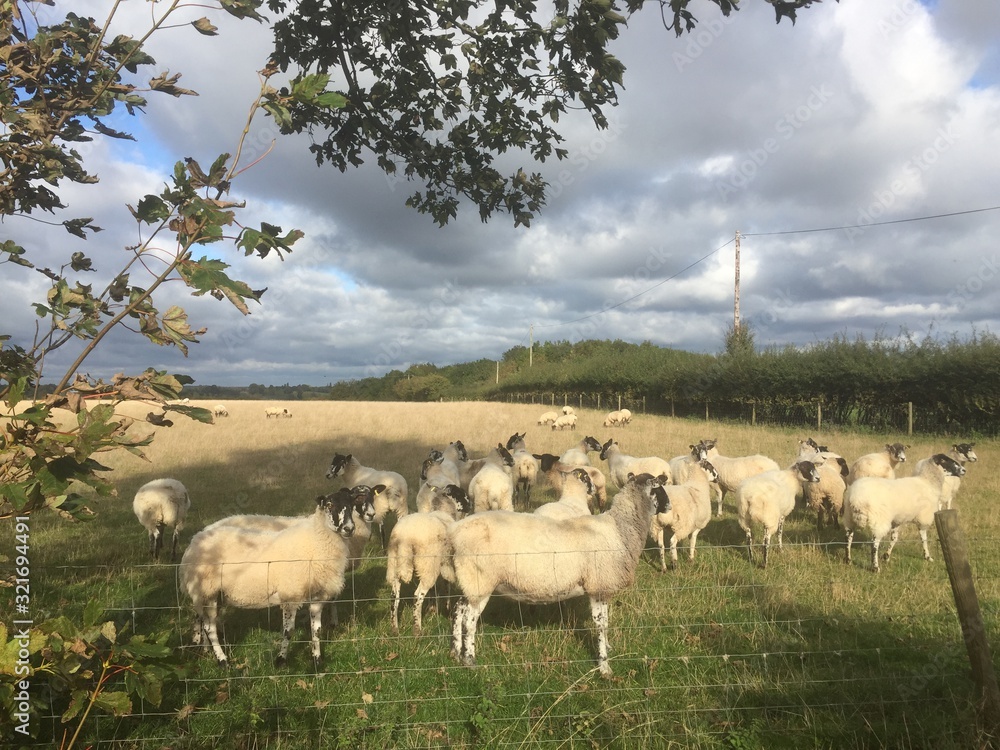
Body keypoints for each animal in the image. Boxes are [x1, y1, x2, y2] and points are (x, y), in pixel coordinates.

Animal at [180, 489, 357, 667]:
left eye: (352, 505)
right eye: (329, 504)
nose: (349, 528)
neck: (316, 541)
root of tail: (195, 540)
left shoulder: (318, 597)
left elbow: (317, 630)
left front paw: (317, 659)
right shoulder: (290, 595)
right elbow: (288, 631)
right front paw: (280, 660)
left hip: (215, 595)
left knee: (206, 623)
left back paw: (207, 651)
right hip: (207, 590)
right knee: (209, 628)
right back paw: (222, 660)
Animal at [387, 483, 472, 635]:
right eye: (461, 493)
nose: (471, 505)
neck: (443, 510)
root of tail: (405, 537)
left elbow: (434, 590)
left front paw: (432, 609)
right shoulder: (446, 564)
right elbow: (447, 586)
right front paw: (447, 610)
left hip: (395, 563)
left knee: (394, 598)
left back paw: (394, 628)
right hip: (427, 564)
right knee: (417, 595)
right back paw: (417, 629)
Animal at [446, 472, 669, 676]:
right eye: (658, 488)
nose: (669, 506)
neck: (620, 530)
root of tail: (455, 531)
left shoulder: (602, 587)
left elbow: (605, 623)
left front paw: (608, 647)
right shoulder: (597, 586)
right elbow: (601, 624)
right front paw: (604, 666)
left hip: (469, 580)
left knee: (458, 609)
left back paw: (456, 652)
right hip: (480, 580)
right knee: (469, 620)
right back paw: (470, 659)